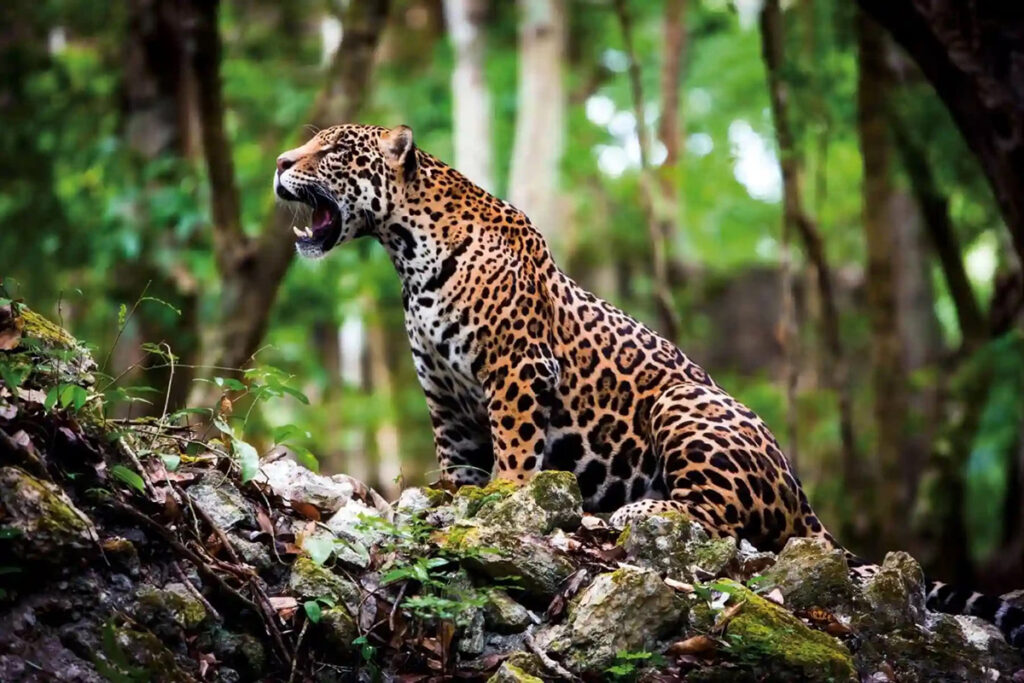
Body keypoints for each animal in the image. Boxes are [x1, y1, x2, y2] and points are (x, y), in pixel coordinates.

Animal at [274, 122, 1023, 648]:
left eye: (332, 149)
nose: (282, 162)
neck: (406, 251)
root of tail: (805, 501)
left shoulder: (515, 369)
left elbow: (514, 450)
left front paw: (503, 501)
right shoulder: (444, 394)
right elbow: (457, 463)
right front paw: (453, 499)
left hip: (685, 406)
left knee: (724, 526)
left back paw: (633, 512)